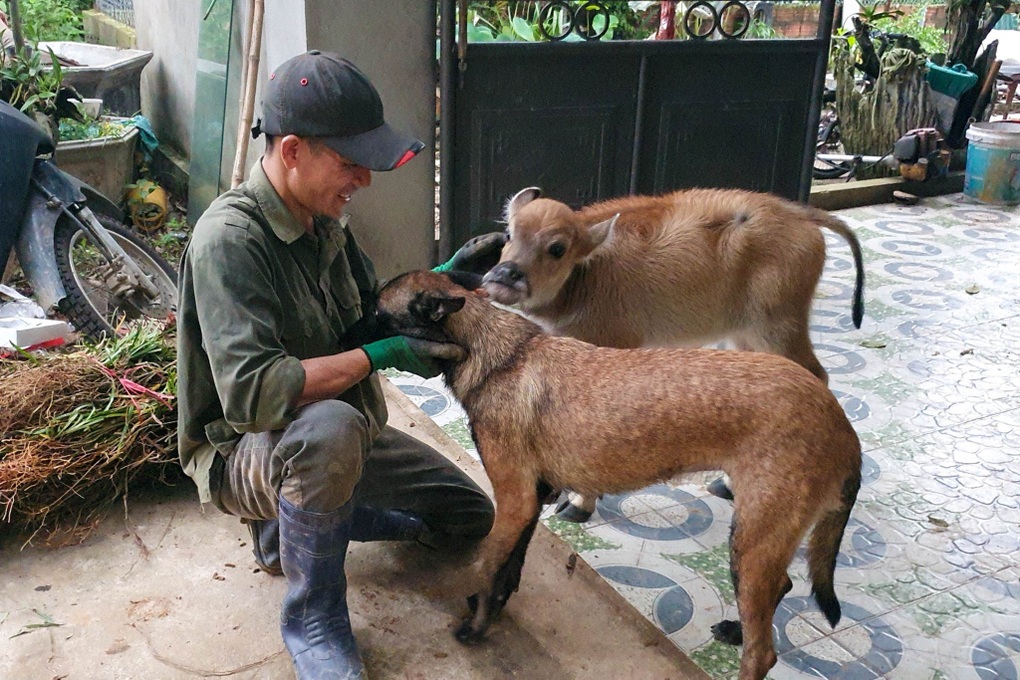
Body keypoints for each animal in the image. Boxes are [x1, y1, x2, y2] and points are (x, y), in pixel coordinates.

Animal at [373, 269, 860, 680]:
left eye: (377, 315)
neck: (496, 352)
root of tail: (840, 422)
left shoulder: (514, 502)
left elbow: (489, 567)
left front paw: (475, 628)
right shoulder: (532, 501)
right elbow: (509, 571)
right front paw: (491, 610)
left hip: (752, 541)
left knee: (764, 652)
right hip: (758, 539)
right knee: (781, 587)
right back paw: (736, 630)